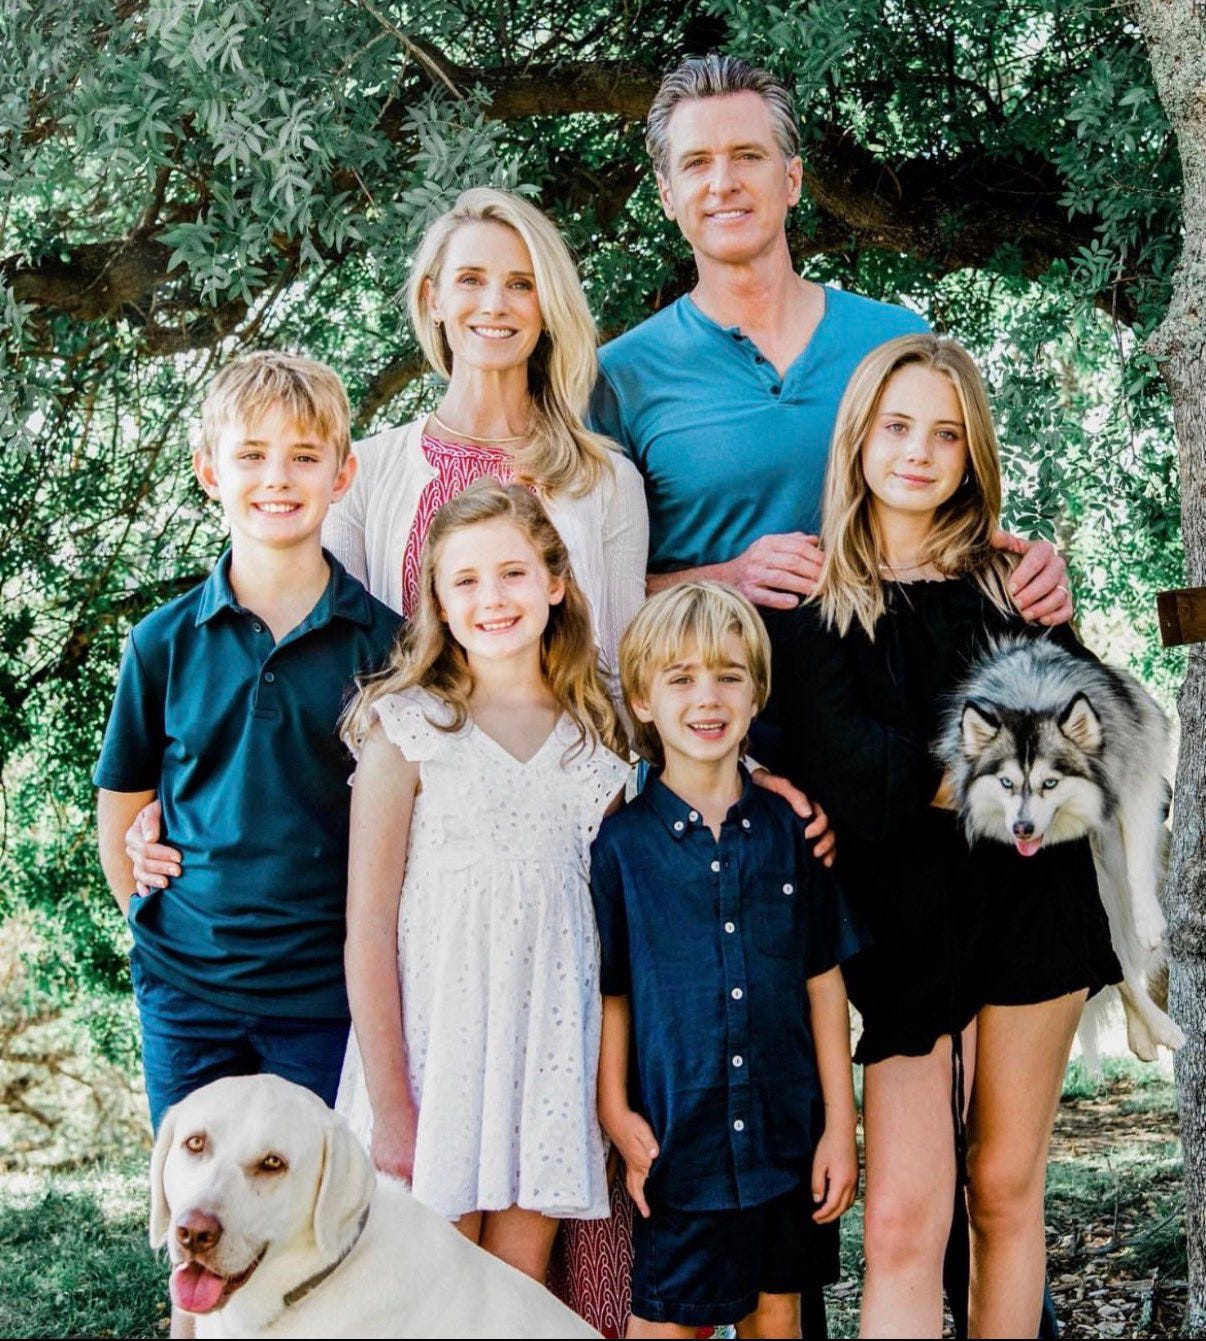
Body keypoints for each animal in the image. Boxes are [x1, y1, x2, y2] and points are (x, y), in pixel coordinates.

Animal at [935, 635, 1185, 1062]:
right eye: (1006, 783)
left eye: (1050, 783)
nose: (1022, 828)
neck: (1033, 698)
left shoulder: (1135, 782)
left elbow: (1137, 865)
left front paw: (1149, 923)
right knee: (1115, 963)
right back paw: (1155, 1031)